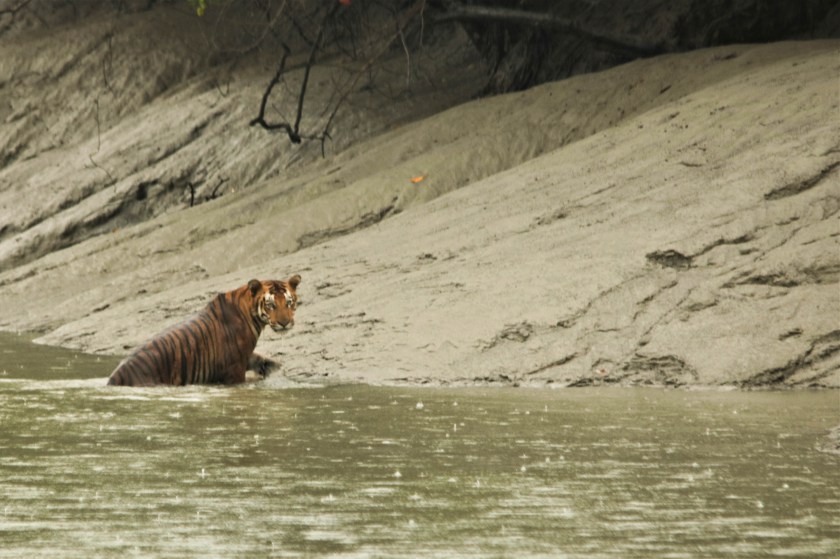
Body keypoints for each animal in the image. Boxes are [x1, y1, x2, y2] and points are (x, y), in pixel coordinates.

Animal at [106, 275, 301, 386]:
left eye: (288, 302)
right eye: (271, 305)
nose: (285, 323)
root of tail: (113, 379)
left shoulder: (245, 356)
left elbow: (262, 360)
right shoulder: (235, 367)